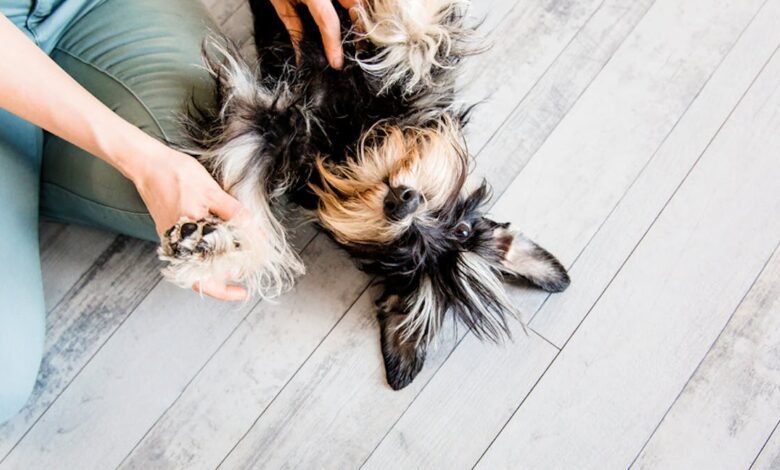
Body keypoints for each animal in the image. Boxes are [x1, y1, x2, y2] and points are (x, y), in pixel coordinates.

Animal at [160, 0, 572, 390]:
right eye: (464, 230)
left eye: (404, 257)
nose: (402, 202)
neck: (354, 150)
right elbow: (416, 44)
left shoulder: (263, 128)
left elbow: (247, 197)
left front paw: (206, 248)